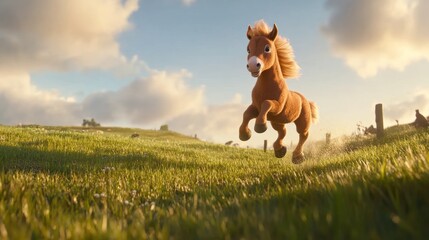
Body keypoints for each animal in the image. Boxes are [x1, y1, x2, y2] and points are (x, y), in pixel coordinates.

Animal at [237, 20, 318, 163]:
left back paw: (297, 157)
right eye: (248, 49)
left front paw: (260, 126)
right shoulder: (256, 107)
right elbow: (246, 114)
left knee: (303, 135)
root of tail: (305, 100)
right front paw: (245, 135)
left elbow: (267, 103)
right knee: (282, 132)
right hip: (277, 121)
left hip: (301, 122)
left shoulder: (277, 107)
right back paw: (280, 150)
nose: (253, 65)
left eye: (267, 48)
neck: (266, 88)